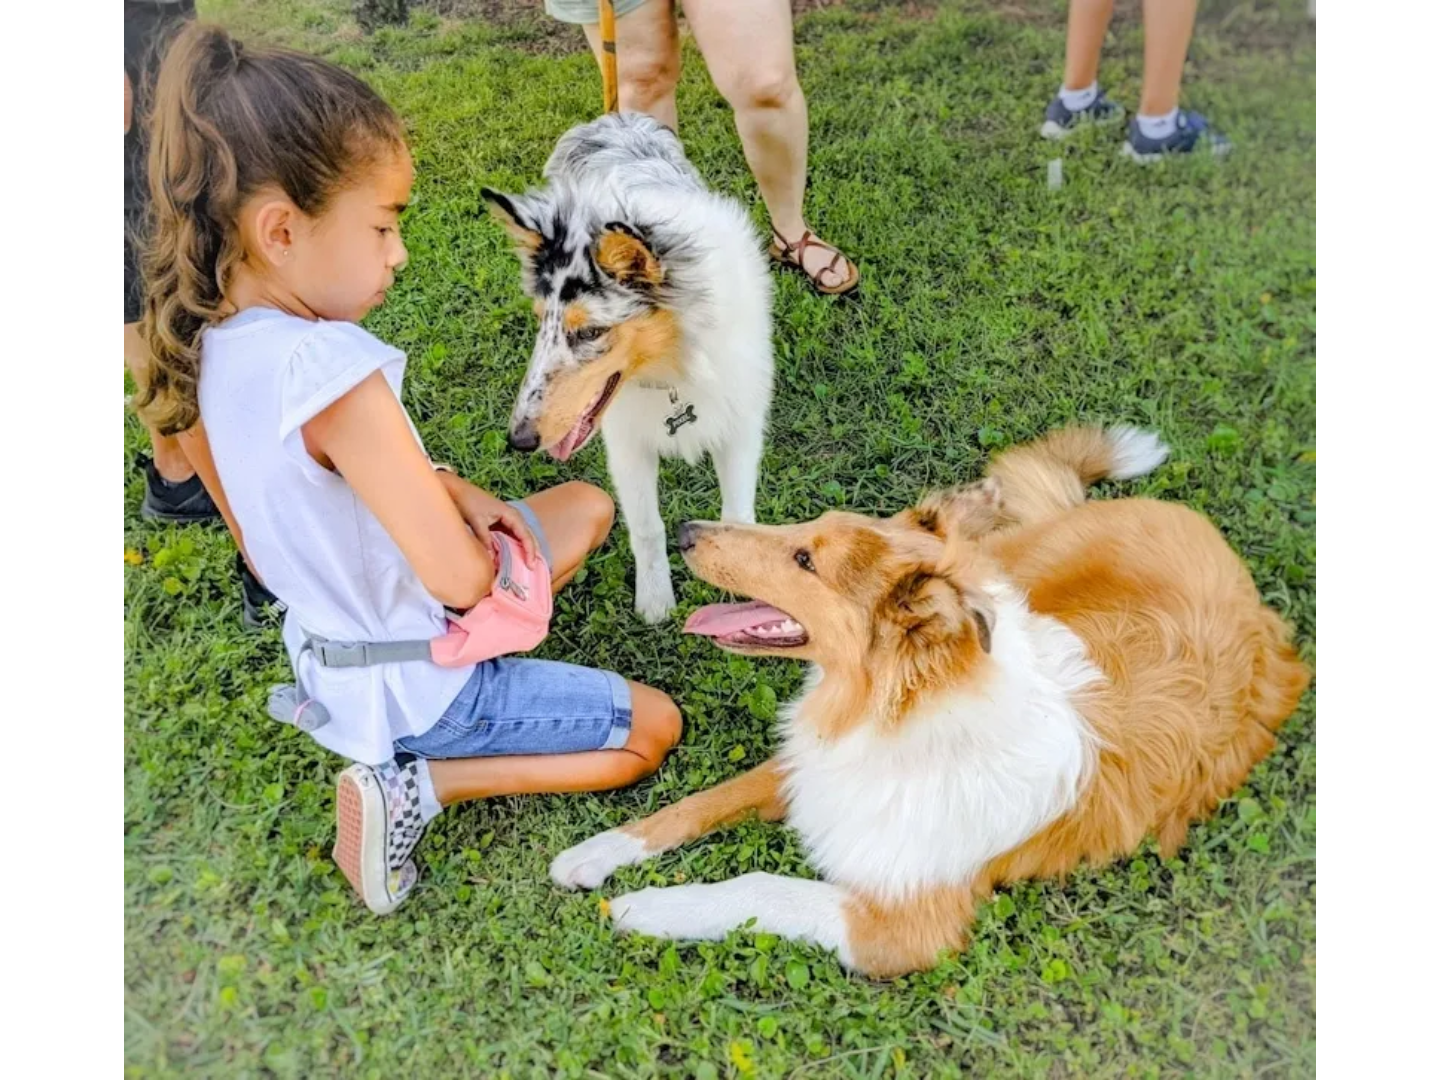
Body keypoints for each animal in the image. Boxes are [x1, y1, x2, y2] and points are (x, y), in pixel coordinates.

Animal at [483, 113, 777, 622]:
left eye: (590, 333)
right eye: (540, 321)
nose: (519, 440)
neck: (674, 370)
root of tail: (612, 117)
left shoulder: (740, 426)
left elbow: (737, 515)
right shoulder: (626, 444)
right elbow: (647, 526)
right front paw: (656, 604)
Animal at [544, 429, 1313, 979]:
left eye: (805, 561)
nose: (685, 533)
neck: (897, 711)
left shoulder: (902, 927)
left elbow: (759, 885)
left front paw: (645, 906)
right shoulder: (810, 767)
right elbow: (693, 805)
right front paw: (592, 855)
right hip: (1013, 580)